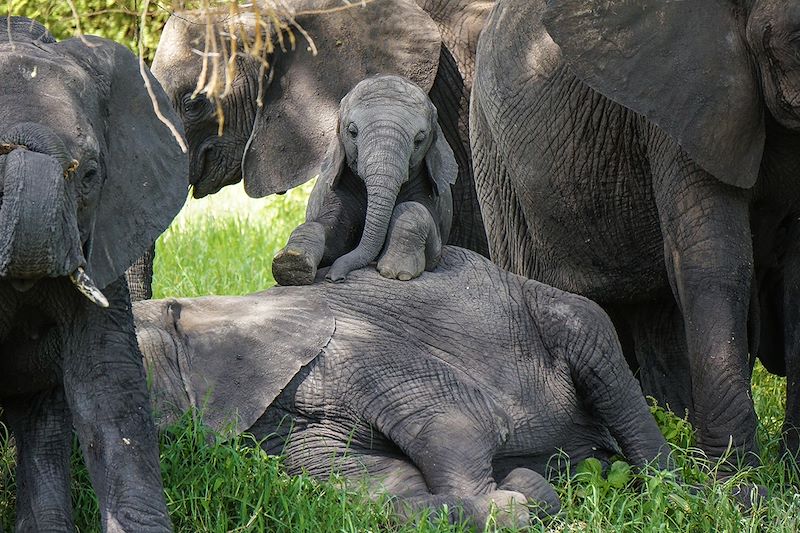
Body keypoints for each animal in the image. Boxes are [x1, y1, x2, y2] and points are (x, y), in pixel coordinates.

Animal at [136, 247, 668, 524]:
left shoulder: (351, 346)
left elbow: (465, 419)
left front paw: (511, 503)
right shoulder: (281, 435)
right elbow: (375, 492)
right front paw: (518, 497)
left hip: (554, 312)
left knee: (597, 348)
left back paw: (674, 489)